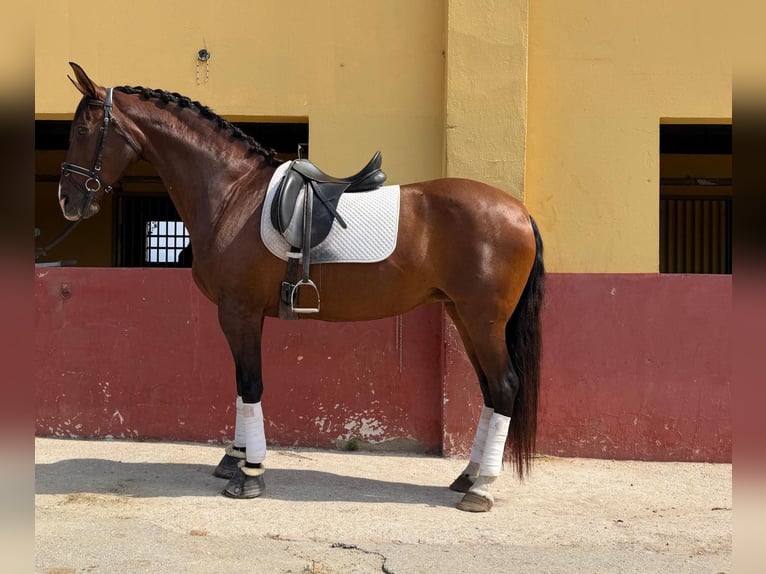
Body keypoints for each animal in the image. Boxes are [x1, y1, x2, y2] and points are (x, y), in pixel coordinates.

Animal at [57, 62, 545, 513]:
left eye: (81, 129)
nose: (67, 200)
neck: (233, 194)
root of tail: (518, 211)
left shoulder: (238, 311)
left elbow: (250, 384)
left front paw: (250, 473)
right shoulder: (243, 314)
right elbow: (241, 385)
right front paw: (235, 457)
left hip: (482, 319)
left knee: (504, 386)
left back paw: (481, 488)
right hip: (463, 316)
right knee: (488, 390)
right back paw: (468, 476)